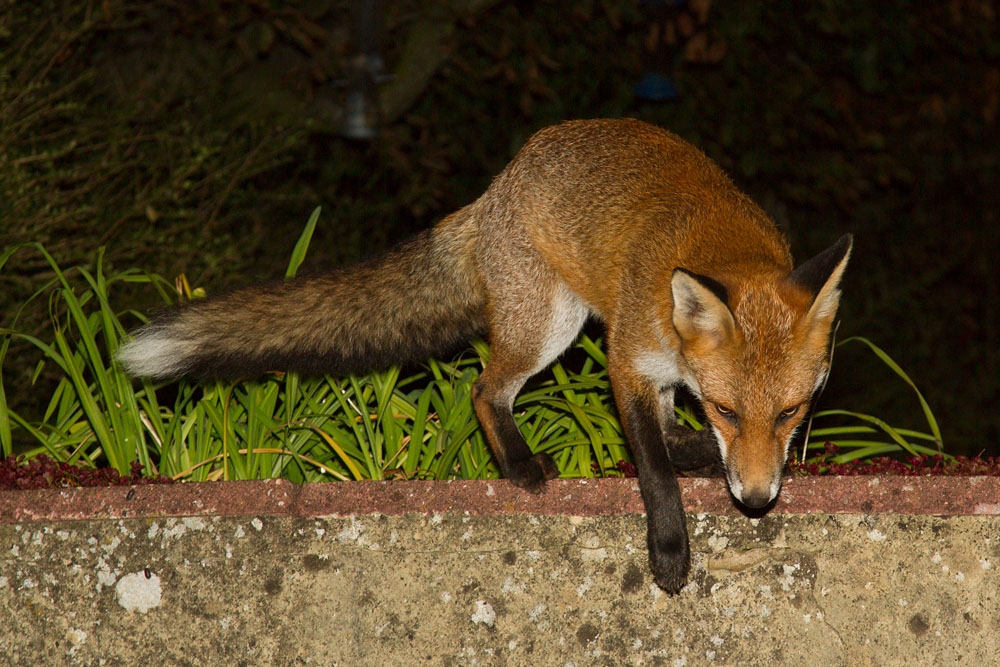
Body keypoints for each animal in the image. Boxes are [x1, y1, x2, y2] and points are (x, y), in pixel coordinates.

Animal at [119, 118, 851, 593]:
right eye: (727, 408)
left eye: (790, 412)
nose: (756, 499)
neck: (720, 248)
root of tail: (499, 184)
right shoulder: (627, 362)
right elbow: (655, 470)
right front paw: (670, 551)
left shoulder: (666, 379)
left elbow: (670, 445)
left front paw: (718, 466)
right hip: (550, 324)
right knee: (482, 389)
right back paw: (519, 464)